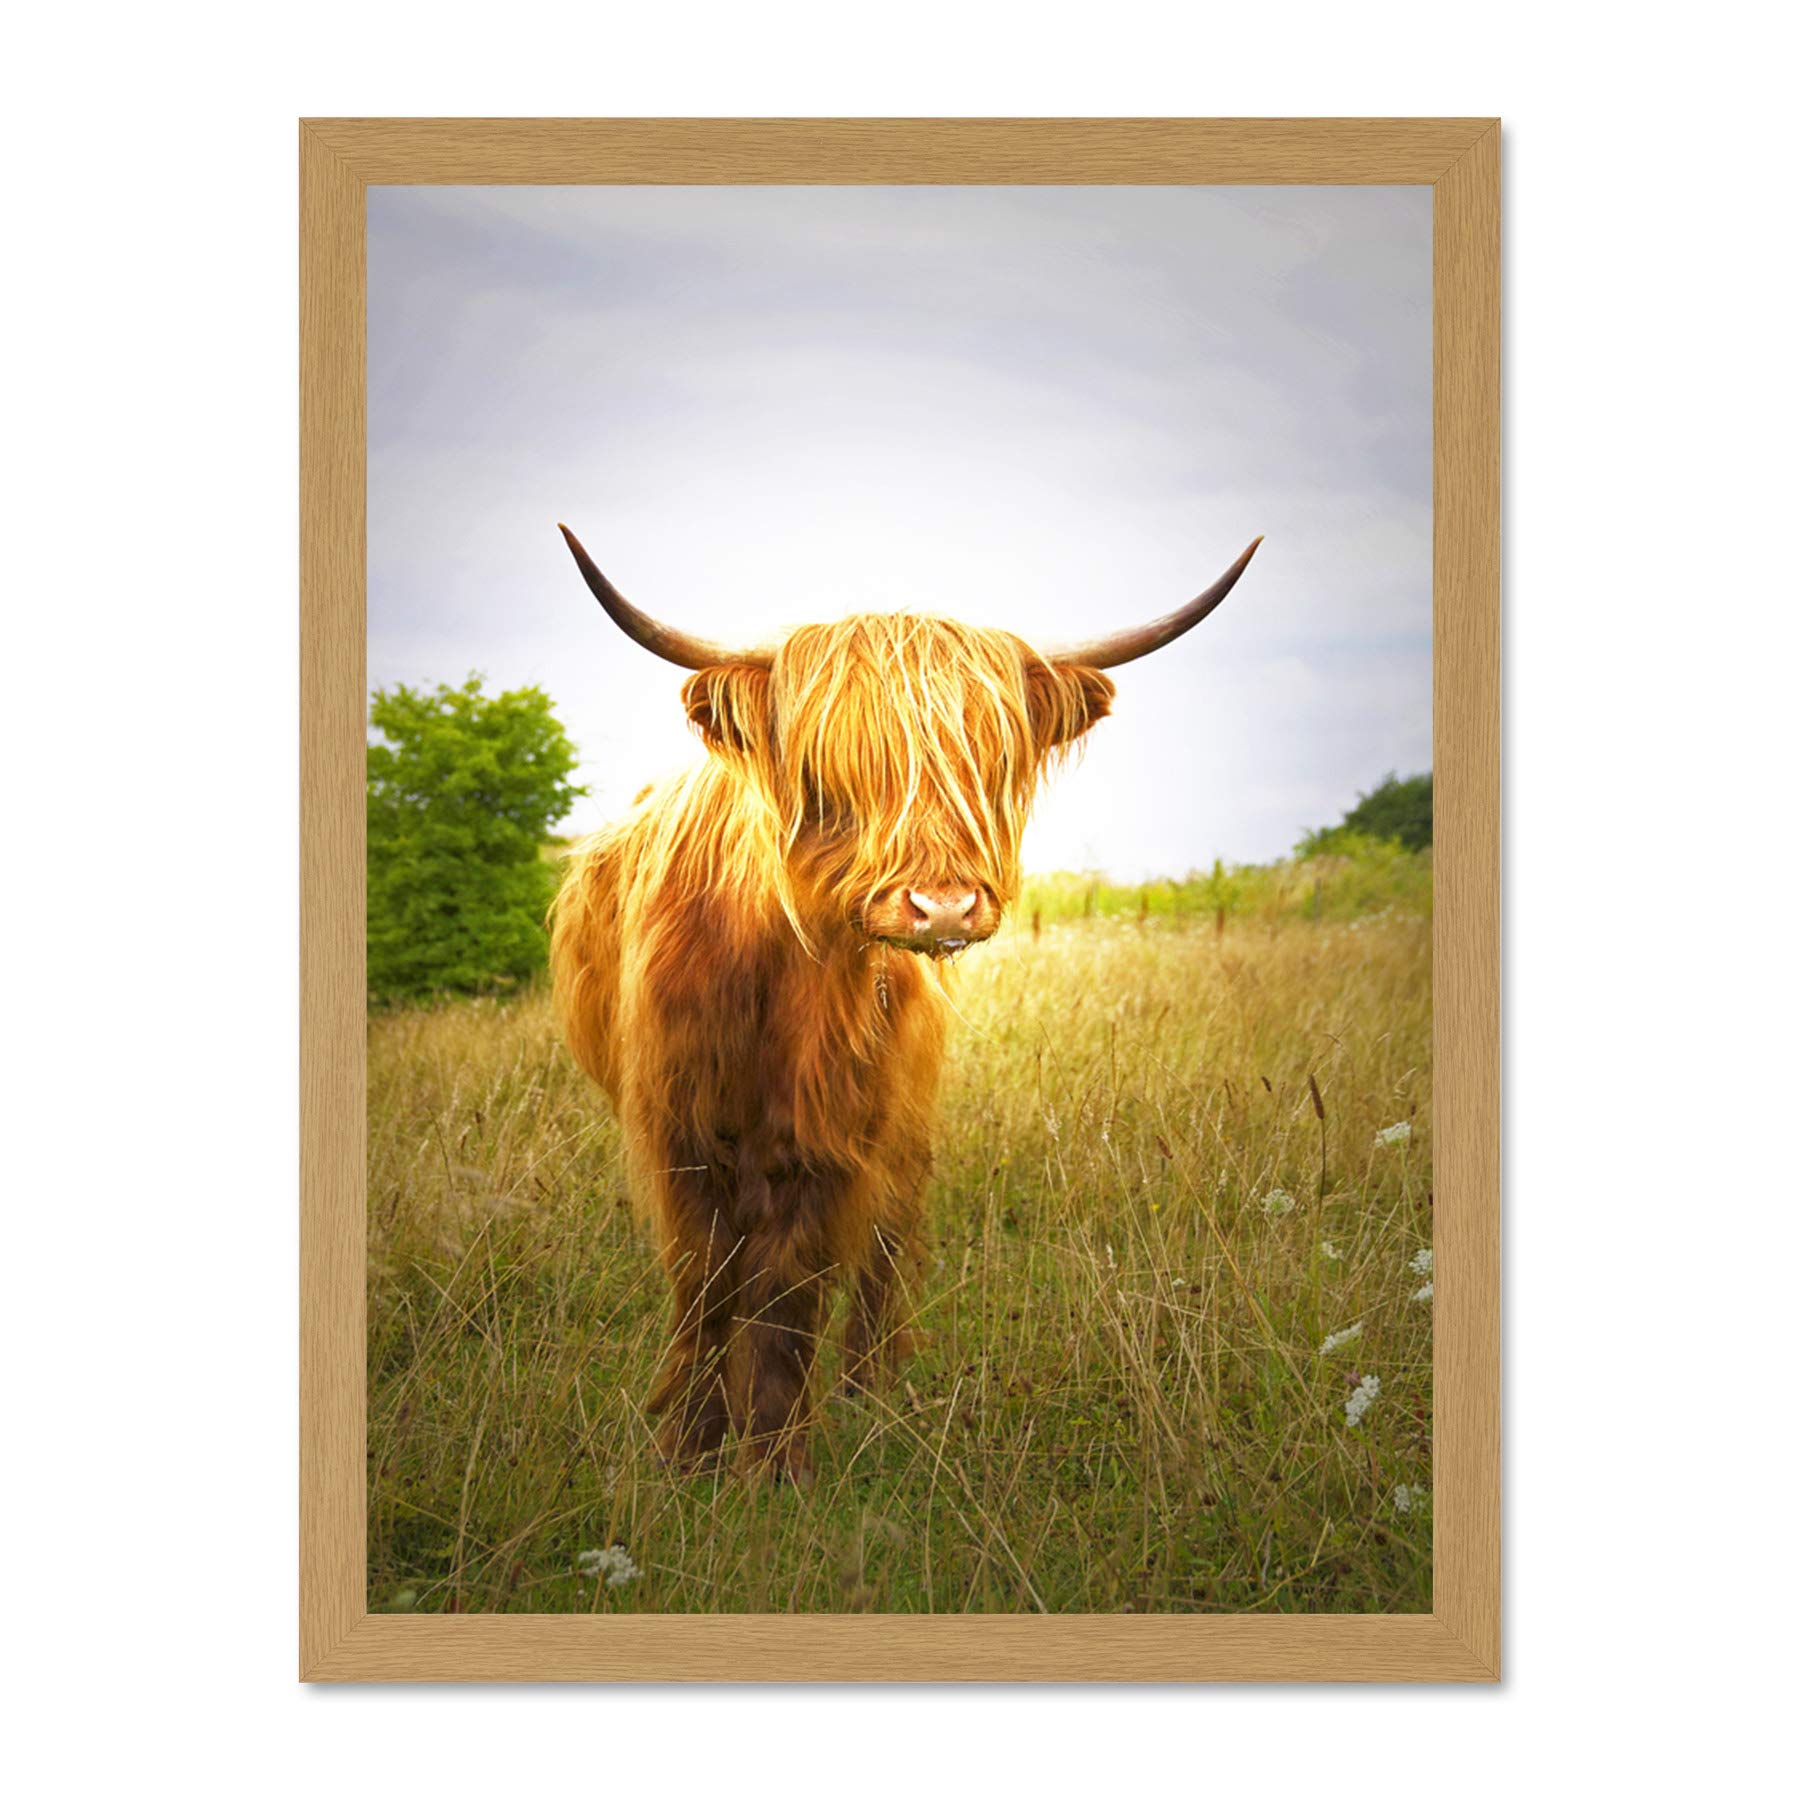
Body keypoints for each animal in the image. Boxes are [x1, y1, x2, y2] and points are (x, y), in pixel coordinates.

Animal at [549, 524, 1261, 1481]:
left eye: (990, 761)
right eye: (831, 766)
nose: (944, 907)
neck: (777, 983)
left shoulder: (830, 1132)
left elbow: (788, 1286)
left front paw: (775, 1461)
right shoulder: (679, 1127)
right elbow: (705, 1282)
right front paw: (691, 1450)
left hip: (907, 1118)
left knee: (887, 1243)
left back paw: (870, 1389)